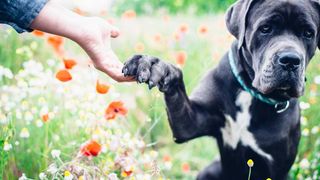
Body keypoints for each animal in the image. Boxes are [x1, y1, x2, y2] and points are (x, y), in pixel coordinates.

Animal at [122, 0, 320, 179]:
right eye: (265, 28)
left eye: (308, 33)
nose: (290, 60)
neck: (250, 91)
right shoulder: (190, 122)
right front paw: (153, 65)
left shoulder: (275, 165)